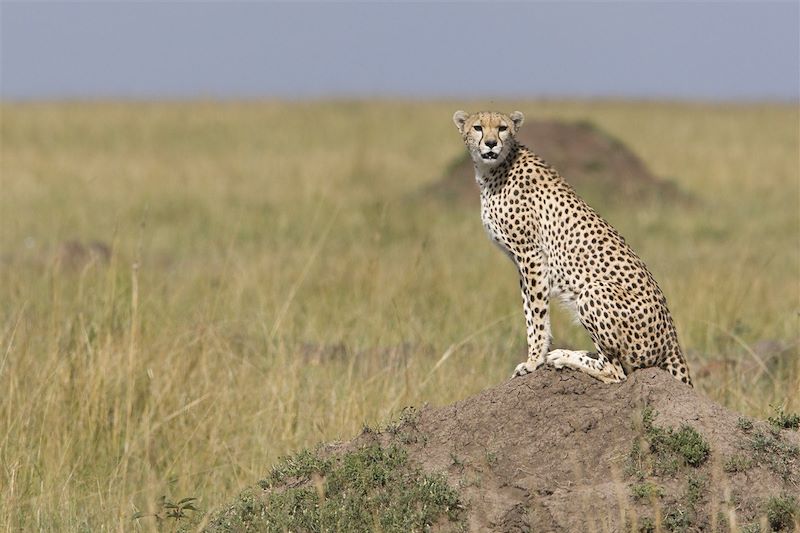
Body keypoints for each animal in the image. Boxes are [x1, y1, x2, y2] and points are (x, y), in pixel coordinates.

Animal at [454, 110, 692, 384]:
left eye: (502, 128)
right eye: (478, 128)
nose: (491, 143)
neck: (495, 168)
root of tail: (673, 339)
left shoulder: (531, 255)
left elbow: (537, 314)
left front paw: (533, 361)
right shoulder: (524, 263)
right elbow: (531, 312)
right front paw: (538, 356)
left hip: (594, 291)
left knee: (616, 372)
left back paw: (564, 358)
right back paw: (566, 353)